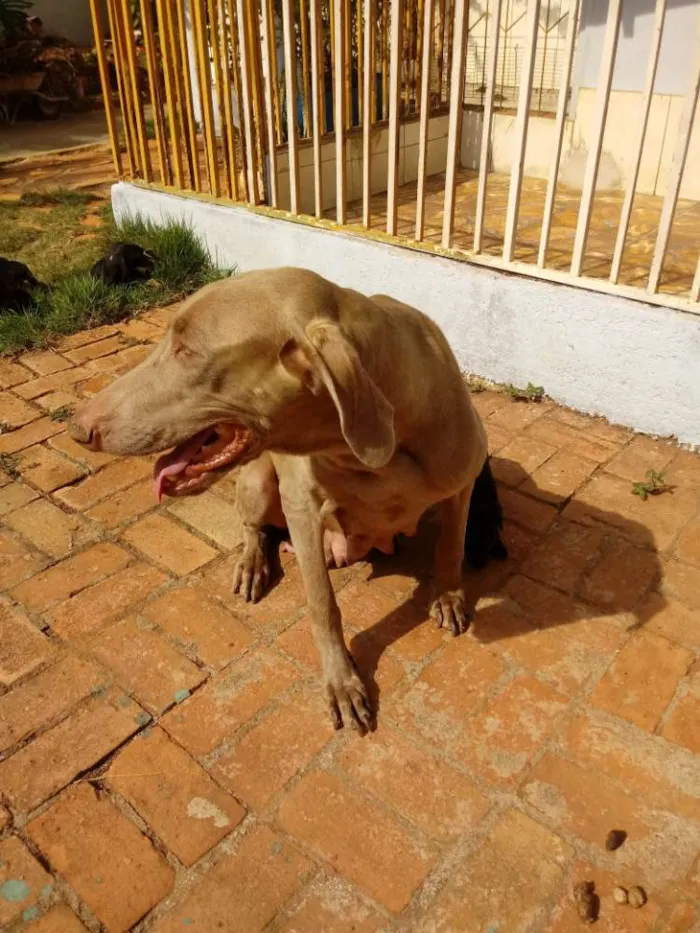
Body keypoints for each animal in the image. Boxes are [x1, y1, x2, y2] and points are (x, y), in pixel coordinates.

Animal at [71, 266, 486, 732]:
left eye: (187, 350)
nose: (77, 428)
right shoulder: (302, 506)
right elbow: (322, 603)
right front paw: (342, 681)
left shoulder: (464, 480)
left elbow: (451, 546)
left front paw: (449, 597)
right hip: (259, 482)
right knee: (255, 529)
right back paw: (253, 564)